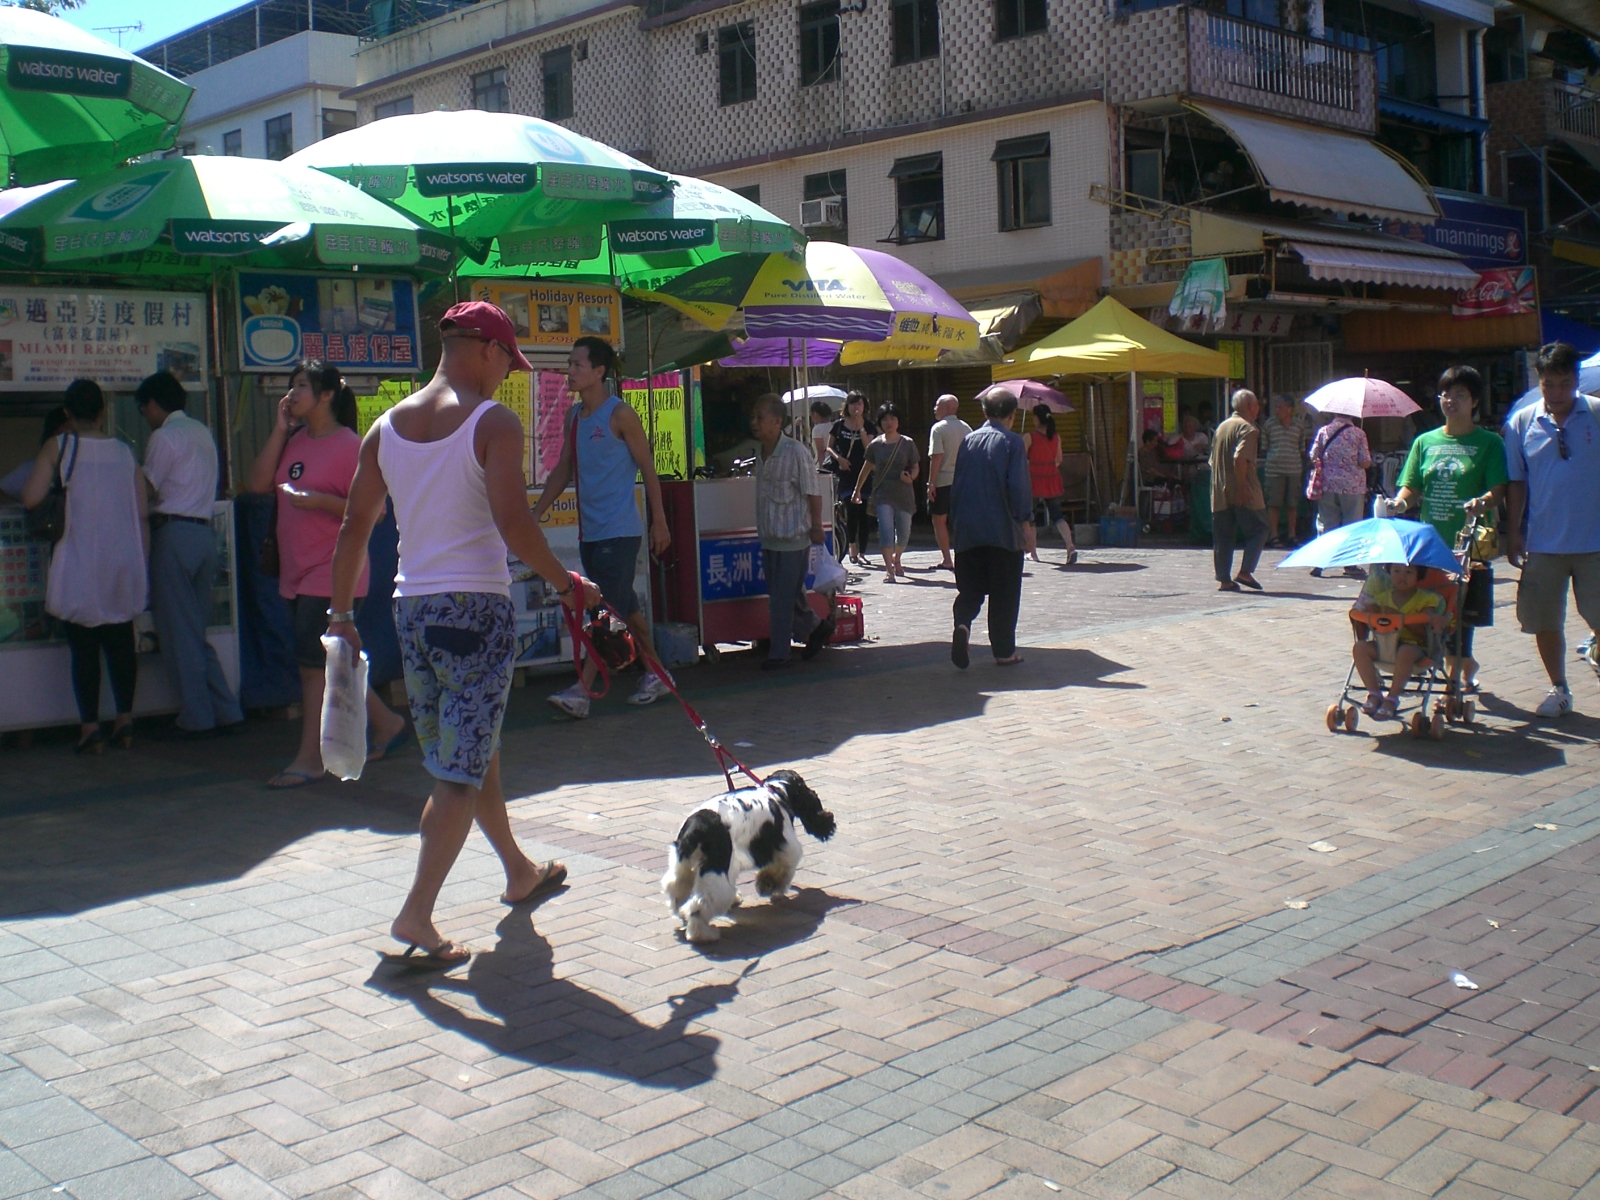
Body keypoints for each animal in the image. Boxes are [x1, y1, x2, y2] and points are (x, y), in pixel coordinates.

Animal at [662, 771, 838, 947]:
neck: (778, 792)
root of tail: (698, 826)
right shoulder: (786, 847)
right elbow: (780, 869)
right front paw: (770, 885)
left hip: (683, 865)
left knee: (676, 889)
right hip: (716, 868)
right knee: (700, 905)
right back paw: (703, 934)